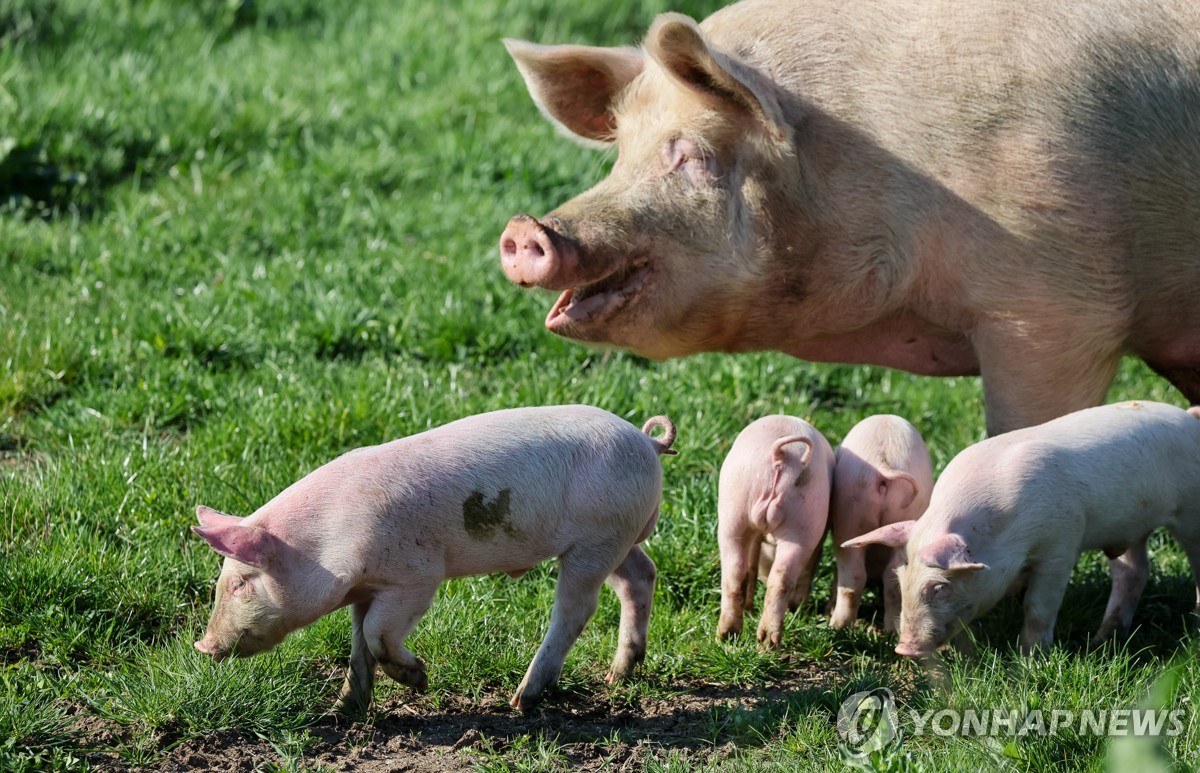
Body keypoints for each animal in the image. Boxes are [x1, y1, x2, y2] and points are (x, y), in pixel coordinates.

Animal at [188, 405, 676, 710]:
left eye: (240, 583)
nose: (202, 645)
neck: (327, 547)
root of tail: (648, 443)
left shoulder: (416, 578)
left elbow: (376, 634)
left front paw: (420, 680)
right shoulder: (367, 587)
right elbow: (358, 644)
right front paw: (343, 710)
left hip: (596, 539)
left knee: (577, 609)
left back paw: (523, 700)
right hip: (618, 537)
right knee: (640, 575)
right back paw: (618, 676)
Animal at [710, 417, 835, 648]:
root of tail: (779, 454)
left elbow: (751, 564)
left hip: (733, 511)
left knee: (737, 574)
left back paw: (732, 637)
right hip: (802, 523)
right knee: (782, 577)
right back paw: (769, 641)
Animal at [830, 412, 931, 628]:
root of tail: (883, 460)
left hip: (849, 516)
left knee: (852, 575)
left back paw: (835, 625)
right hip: (895, 513)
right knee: (890, 578)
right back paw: (891, 629)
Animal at [844, 398, 1200, 657]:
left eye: (939, 587)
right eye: (901, 582)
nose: (904, 649)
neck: (1002, 531)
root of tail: (1190, 417)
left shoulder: (1062, 542)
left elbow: (1038, 606)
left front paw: (1030, 658)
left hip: (1189, 512)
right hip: (1131, 525)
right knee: (1134, 570)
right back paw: (1101, 640)